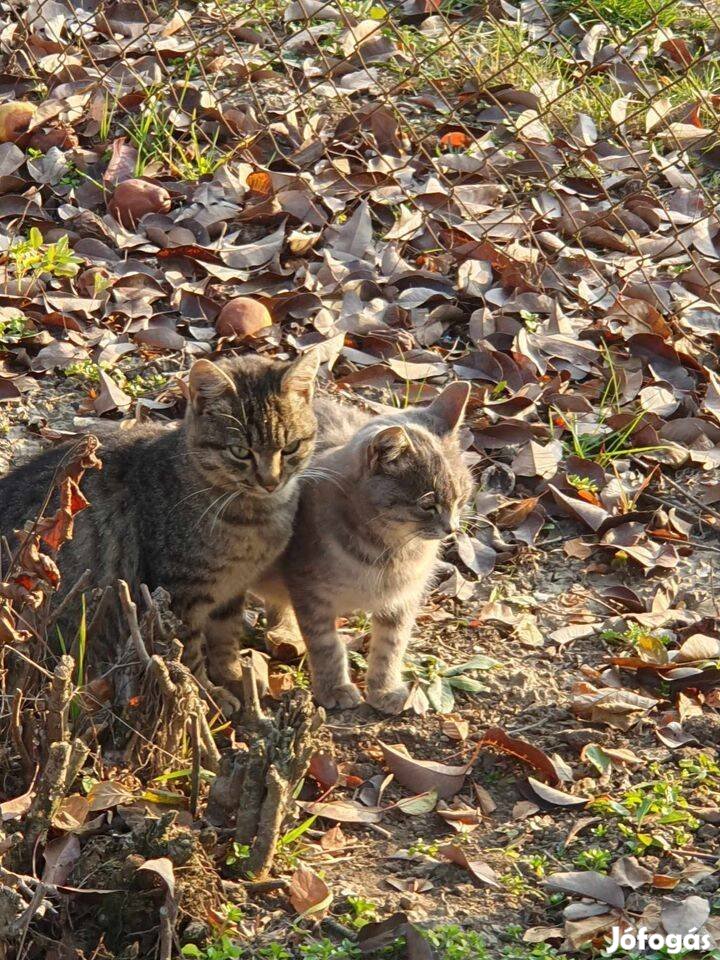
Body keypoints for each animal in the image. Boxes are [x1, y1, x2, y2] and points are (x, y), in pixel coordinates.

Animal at [0, 352, 318, 712]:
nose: (270, 481)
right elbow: (188, 657)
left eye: (291, 447)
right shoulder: (177, 595)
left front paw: (234, 677)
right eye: (240, 451)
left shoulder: (231, 591)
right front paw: (208, 697)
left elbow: (225, 640)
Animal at [258, 382, 472, 712]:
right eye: (428, 504)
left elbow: (390, 648)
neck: (385, 552)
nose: (453, 528)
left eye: (462, 497)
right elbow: (326, 646)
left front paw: (384, 689)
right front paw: (334, 688)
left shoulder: (402, 600)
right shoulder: (309, 594)